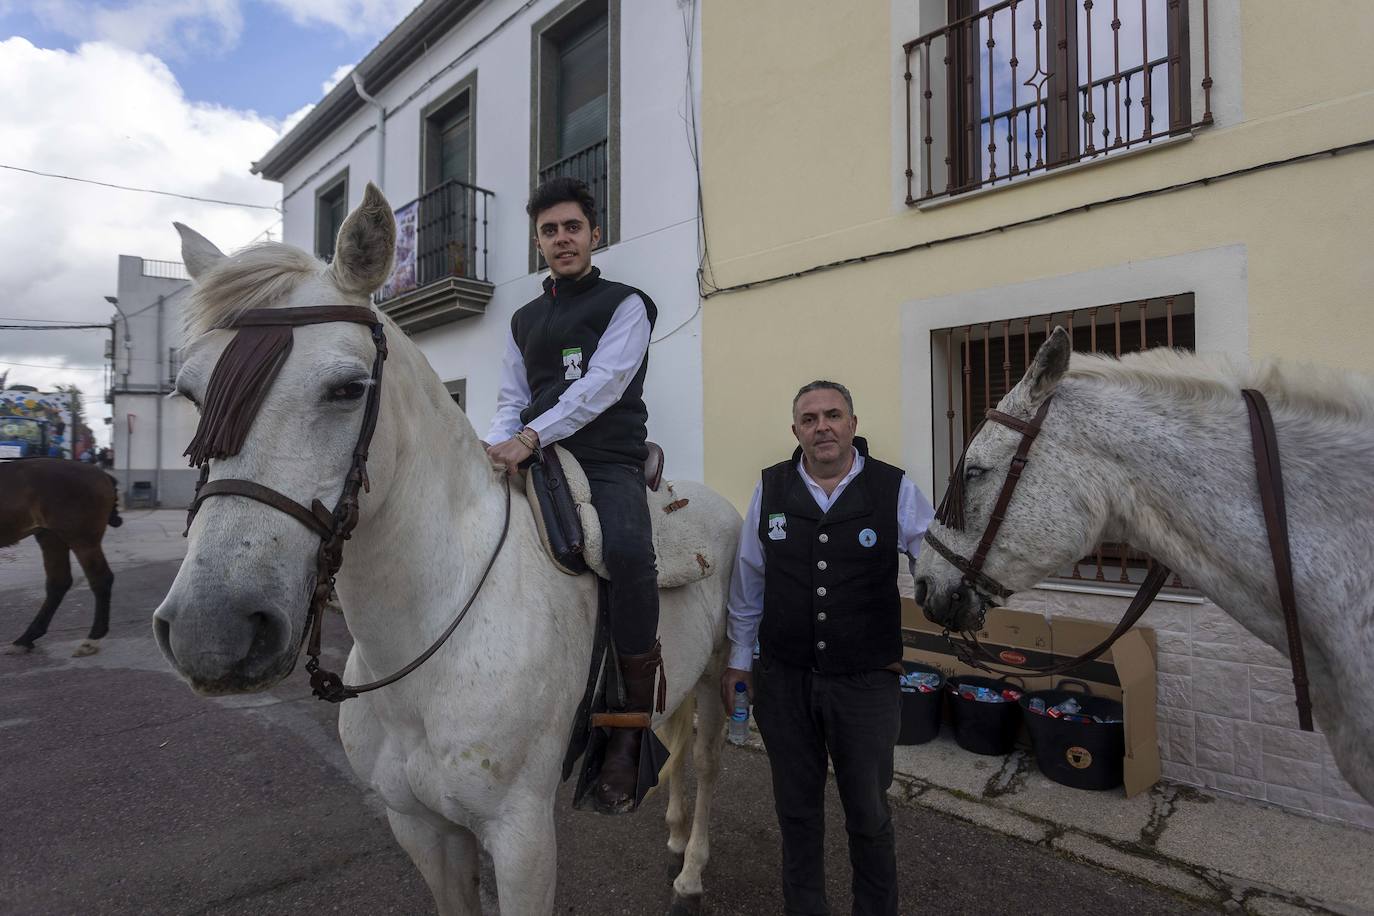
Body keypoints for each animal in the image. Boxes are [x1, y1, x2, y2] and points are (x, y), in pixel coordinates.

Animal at [2, 461, 120, 656]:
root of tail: (102, 474)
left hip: (81, 540)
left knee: (100, 579)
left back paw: (92, 639)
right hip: (51, 536)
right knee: (58, 583)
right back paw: (27, 638)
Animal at [150, 182, 741, 911]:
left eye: (348, 388)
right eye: (190, 392)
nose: (212, 632)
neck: (427, 647)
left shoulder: (521, 839)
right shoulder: (421, 827)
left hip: (717, 670)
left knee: (707, 759)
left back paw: (692, 867)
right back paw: (675, 834)